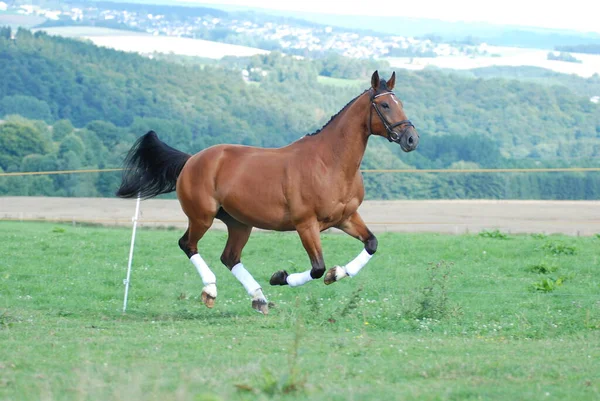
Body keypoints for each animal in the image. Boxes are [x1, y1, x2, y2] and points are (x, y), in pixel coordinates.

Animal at [116, 71, 418, 316]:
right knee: (188, 244)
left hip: (239, 223)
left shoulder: (346, 218)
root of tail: (192, 160)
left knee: (230, 257)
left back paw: (259, 299)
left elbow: (371, 244)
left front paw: (337, 273)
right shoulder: (306, 224)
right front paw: (280, 277)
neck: (330, 163)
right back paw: (211, 290)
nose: (411, 139)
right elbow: (317, 267)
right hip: (202, 216)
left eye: (401, 103)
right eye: (384, 104)